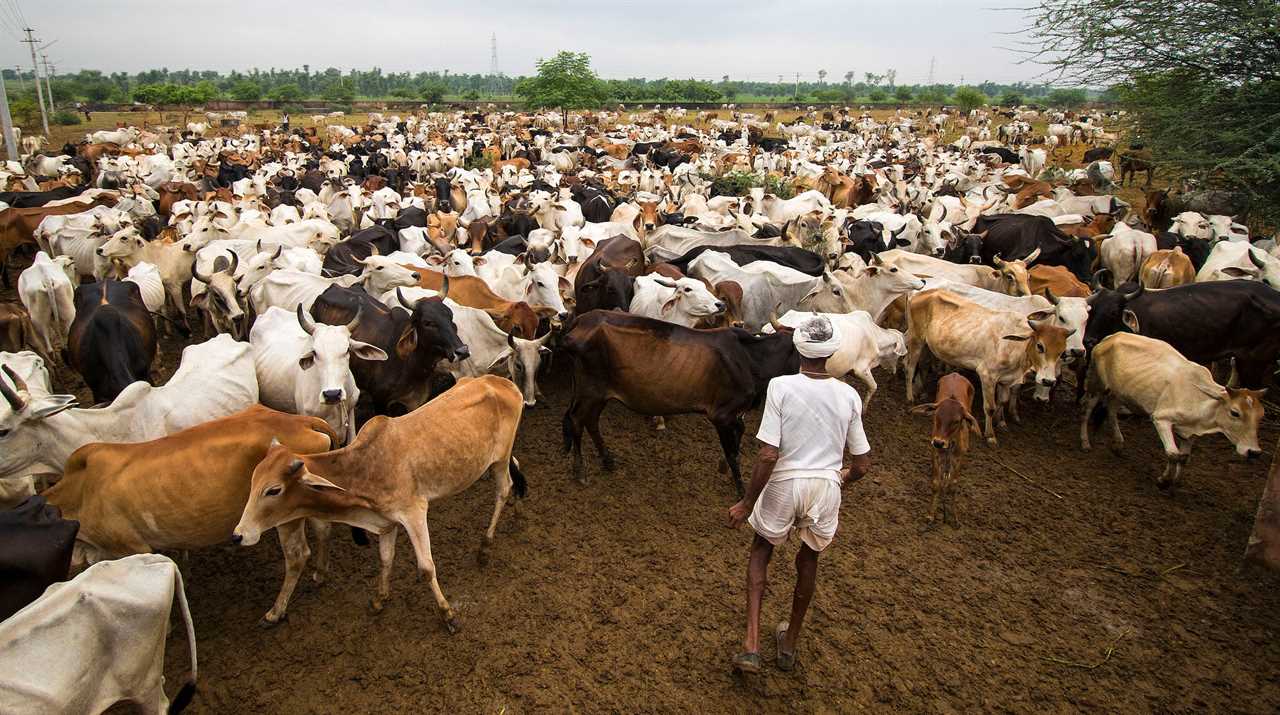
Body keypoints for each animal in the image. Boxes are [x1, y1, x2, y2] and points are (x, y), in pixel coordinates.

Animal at [309, 280, 471, 414]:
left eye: (450, 316)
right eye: (428, 322)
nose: (462, 351)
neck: (412, 364)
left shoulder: (417, 400)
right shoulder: (380, 400)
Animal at [911, 376, 977, 526]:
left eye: (956, 421)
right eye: (936, 416)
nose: (938, 442)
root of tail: (956, 374)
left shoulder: (959, 457)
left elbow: (953, 485)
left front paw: (955, 518)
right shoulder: (935, 453)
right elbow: (936, 483)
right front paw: (930, 515)